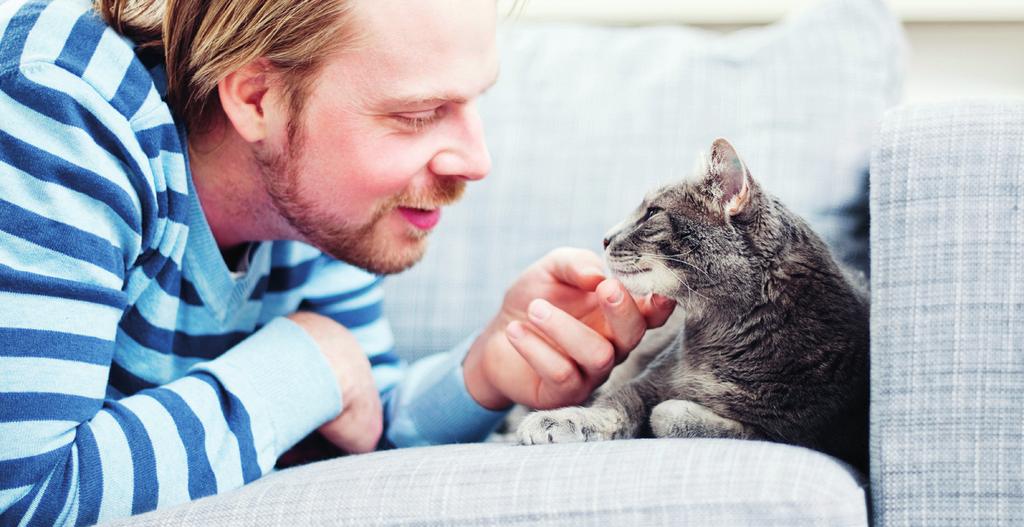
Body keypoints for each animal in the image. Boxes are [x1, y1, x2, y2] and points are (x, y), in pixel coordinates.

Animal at [516, 138, 868, 472]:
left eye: (652, 213)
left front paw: (677, 408)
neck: (723, 335)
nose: (605, 238)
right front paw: (556, 419)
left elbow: (675, 417)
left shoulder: (803, 433)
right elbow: (612, 407)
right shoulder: (645, 383)